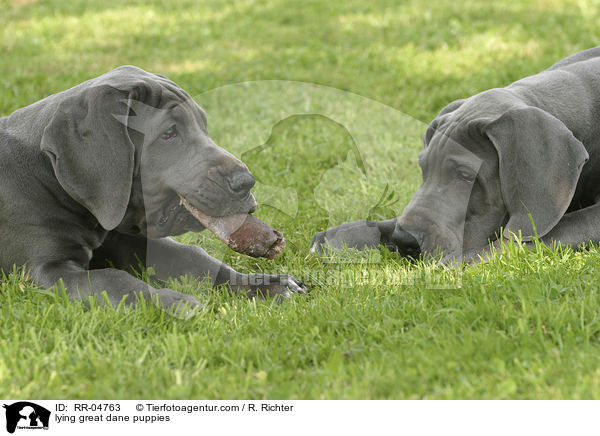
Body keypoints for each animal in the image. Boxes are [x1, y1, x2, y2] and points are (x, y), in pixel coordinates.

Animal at [0, 65, 308, 314]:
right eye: (169, 133)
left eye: (203, 125)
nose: (246, 182)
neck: (46, 175)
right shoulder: (47, 270)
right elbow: (113, 280)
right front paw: (170, 302)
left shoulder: (126, 237)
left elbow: (192, 256)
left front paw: (263, 284)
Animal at [312, 46, 600, 262]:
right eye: (423, 169)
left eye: (465, 175)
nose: (404, 240)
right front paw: (345, 235)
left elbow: (541, 233)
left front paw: (463, 259)